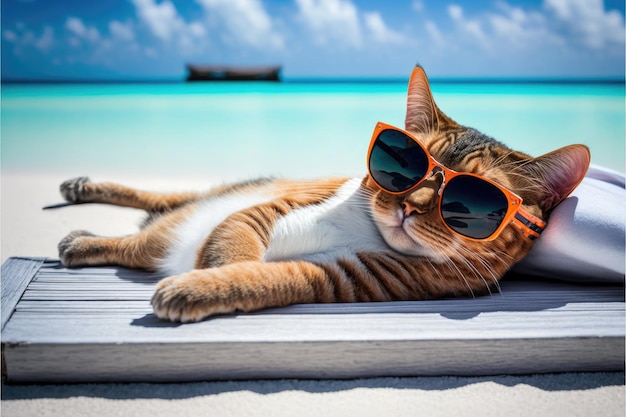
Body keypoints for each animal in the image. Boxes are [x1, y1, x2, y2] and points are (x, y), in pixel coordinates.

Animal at [54, 67, 588, 322]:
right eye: (405, 165)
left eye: (470, 206)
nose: (409, 206)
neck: (366, 228)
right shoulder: (266, 210)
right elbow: (235, 247)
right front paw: (208, 278)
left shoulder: (342, 275)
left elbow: (255, 276)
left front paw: (202, 287)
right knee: (156, 209)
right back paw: (84, 202)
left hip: (164, 237)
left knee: (142, 239)